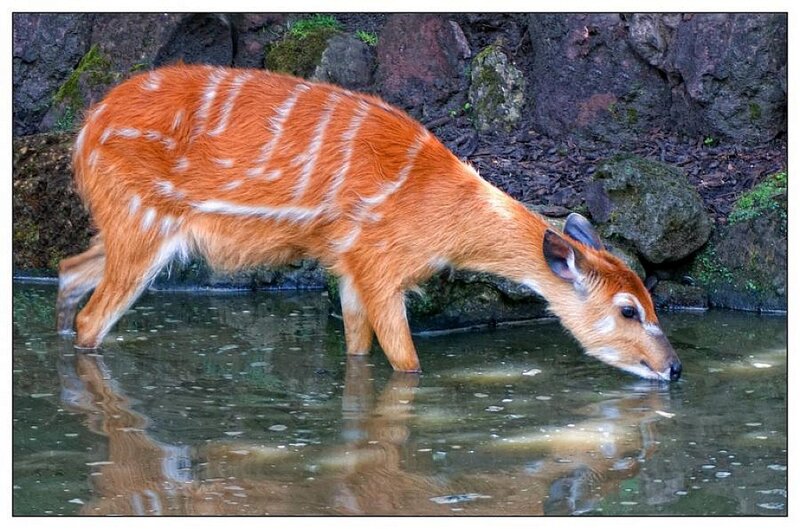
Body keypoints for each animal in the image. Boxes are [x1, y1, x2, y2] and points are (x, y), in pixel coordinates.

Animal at [57, 64, 682, 381]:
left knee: (68, 270)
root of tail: (84, 134)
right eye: (628, 310)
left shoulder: (348, 268)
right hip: (141, 224)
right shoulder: (380, 266)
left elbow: (357, 355)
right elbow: (407, 364)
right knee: (93, 317)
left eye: (652, 300)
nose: (674, 368)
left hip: (127, 228)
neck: (435, 206)